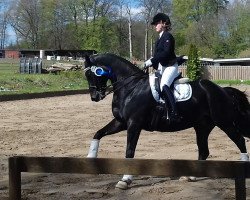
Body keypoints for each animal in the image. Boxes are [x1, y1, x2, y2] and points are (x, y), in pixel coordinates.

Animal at [84, 52, 250, 189]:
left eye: (92, 74)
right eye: (87, 76)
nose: (95, 97)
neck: (131, 87)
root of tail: (223, 90)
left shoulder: (134, 123)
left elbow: (129, 151)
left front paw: (125, 180)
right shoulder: (121, 122)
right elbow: (98, 134)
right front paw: (90, 159)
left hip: (225, 123)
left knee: (240, 141)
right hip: (202, 127)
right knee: (204, 151)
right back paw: (191, 177)